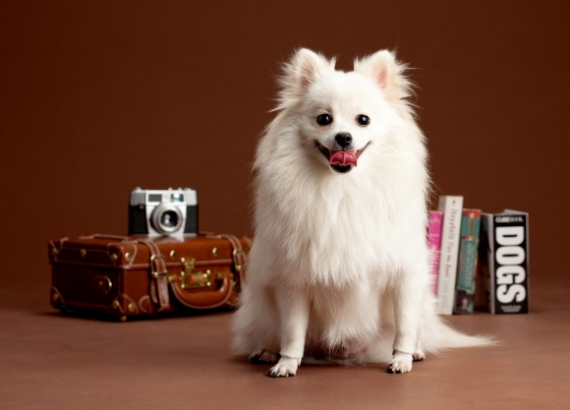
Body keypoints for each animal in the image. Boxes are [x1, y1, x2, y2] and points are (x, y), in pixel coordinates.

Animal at [233, 48, 490, 378]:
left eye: (363, 120)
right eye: (324, 119)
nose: (343, 136)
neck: (343, 189)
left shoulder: (404, 275)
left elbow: (405, 326)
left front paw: (402, 358)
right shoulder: (293, 282)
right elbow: (292, 331)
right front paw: (287, 363)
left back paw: (416, 350)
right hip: (260, 306)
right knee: (270, 331)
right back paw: (266, 351)